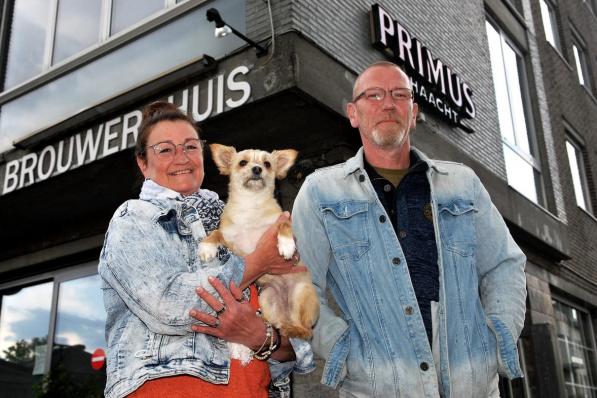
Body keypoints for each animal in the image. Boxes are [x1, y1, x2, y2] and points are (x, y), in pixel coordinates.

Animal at [198, 145, 318, 362]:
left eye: (267, 164)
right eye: (243, 162)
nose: (257, 169)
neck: (250, 206)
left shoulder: (280, 221)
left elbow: (284, 225)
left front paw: (286, 245)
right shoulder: (230, 238)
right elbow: (216, 233)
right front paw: (206, 247)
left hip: (301, 294)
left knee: (306, 331)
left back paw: (294, 329)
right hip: (268, 298)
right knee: (281, 323)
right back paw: (277, 325)